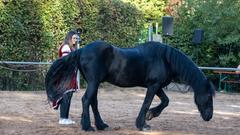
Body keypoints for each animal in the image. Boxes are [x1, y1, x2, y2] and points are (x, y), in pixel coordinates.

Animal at [45, 40, 216, 131]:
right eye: (208, 96)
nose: (209, 117)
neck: (165, 59)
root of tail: (81, 50)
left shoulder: (157, 86)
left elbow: (165, 101)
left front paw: (151, 116)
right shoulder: (153, 86)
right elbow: (146, 103)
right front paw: (143, 124)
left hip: (96, 83)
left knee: (93, 102)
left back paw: (101, 125)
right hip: (94, 82)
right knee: (86, 100)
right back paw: (88, 127)